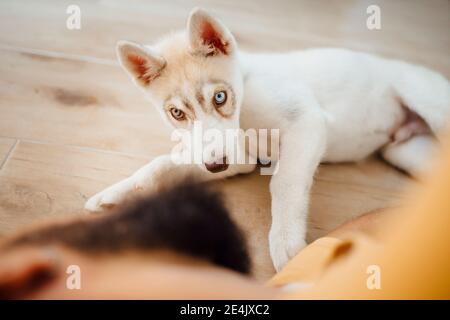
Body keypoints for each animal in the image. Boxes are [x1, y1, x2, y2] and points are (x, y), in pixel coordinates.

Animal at [85, 8, 450, 270]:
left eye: (220, 97)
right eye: (176, 113)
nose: (215, 166)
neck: (245, 102)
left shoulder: (307, 122)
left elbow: (284, 182)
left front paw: (287, 243)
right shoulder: (236, 159)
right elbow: (162, 164)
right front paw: (117, 192)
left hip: (432, 108)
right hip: (407, 152)